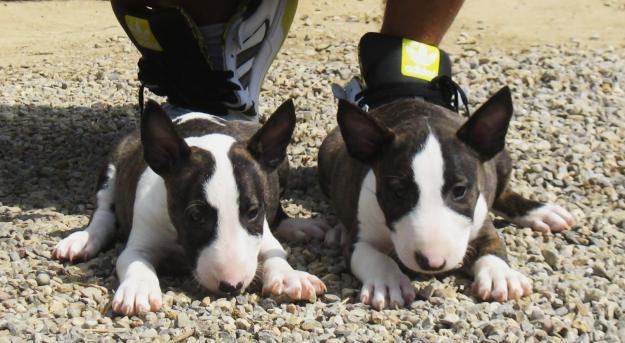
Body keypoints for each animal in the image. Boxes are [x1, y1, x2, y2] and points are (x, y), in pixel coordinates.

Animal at [52, 99, 326, 314]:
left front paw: (290, 277)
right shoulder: (141, 239)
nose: (231, 285)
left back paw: (298, 226)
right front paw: (139, 289)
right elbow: (133, 260)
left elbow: (273, 252)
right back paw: (83, 240)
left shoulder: (261, 231)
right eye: (195, 216)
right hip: (113, 164)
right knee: (102, 211)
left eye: (253, 212)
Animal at [320, 87, 572, 310]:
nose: (432, 262)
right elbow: (374, 257)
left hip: (501, 159)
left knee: (503, 194)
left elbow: (493, 246)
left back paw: (540, 212)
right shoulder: (358, 240)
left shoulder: (481, 222)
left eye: (460, 190)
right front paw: (388, 283)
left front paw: (499, 274)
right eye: (398, 192)